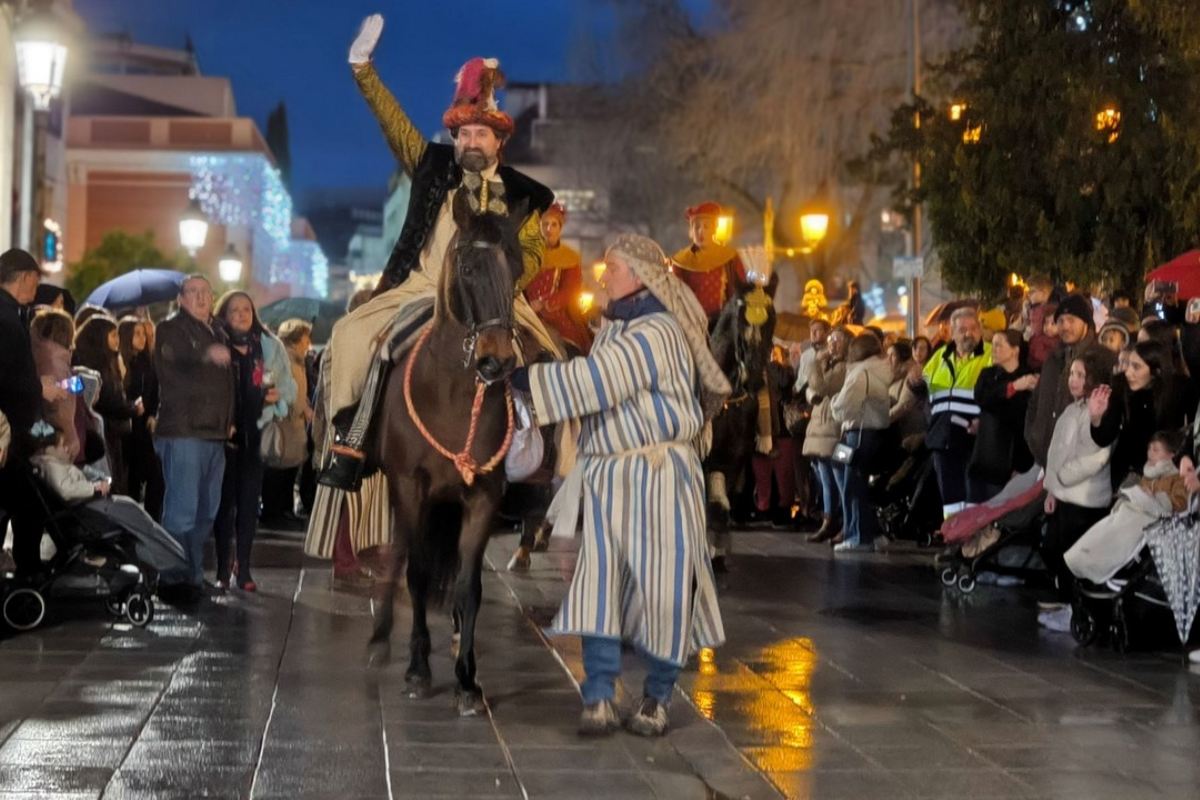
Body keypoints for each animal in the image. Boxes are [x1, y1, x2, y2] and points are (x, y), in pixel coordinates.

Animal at [367, 195, 523, 719]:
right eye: (469, 267)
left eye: (518, 267)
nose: (497, 360)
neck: (454, 395)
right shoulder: (410, 486)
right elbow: (415, 573)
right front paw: (418, 670)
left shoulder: (483, 497)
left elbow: (469, 586)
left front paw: (467, 681)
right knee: (398, 553)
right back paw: (380, 640)